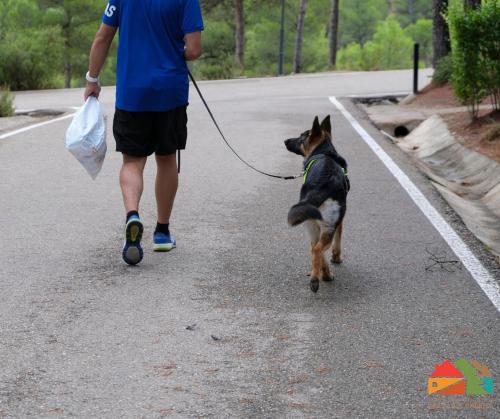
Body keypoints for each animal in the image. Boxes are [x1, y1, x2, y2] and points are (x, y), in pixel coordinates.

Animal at [284, 115, 350, 292]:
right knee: (319, 248)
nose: (285, 140)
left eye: (301, 137)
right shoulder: (340, 222)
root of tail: (321, 185)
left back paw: (320, 274)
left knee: (314, 248)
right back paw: (318, 278)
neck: (325, 151)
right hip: (328, 225)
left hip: (311, 223)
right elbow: (338, 242)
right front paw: (337, 257)